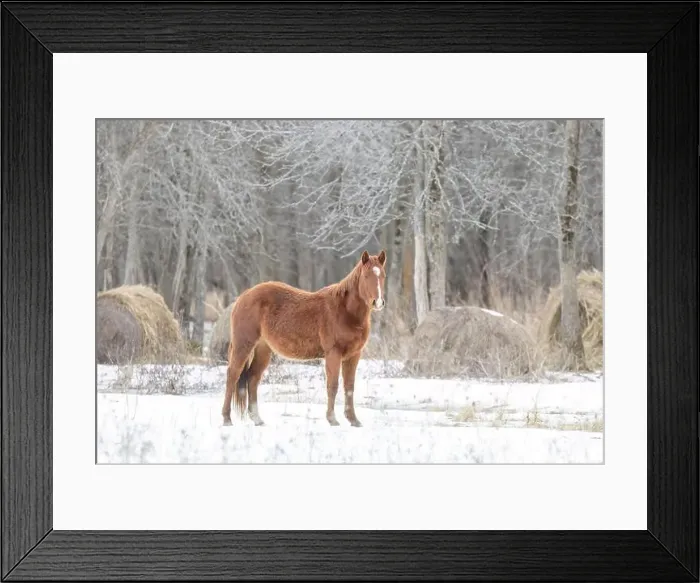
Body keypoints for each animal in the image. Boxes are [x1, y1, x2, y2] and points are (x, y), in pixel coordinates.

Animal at [222, 249, 387, 428]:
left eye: (383, 275)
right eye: (366, 276)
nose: (378, 302)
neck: (345, 311)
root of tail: (243, 296)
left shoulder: (354, 355)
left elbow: (349, 387)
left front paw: (354, 420)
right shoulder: (333, 354)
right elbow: (333, 386)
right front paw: (332, 419)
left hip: (263, 349)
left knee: (252, 378)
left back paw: (257, 419)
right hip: (243, 345)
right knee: (233, 375)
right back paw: (226, 419)